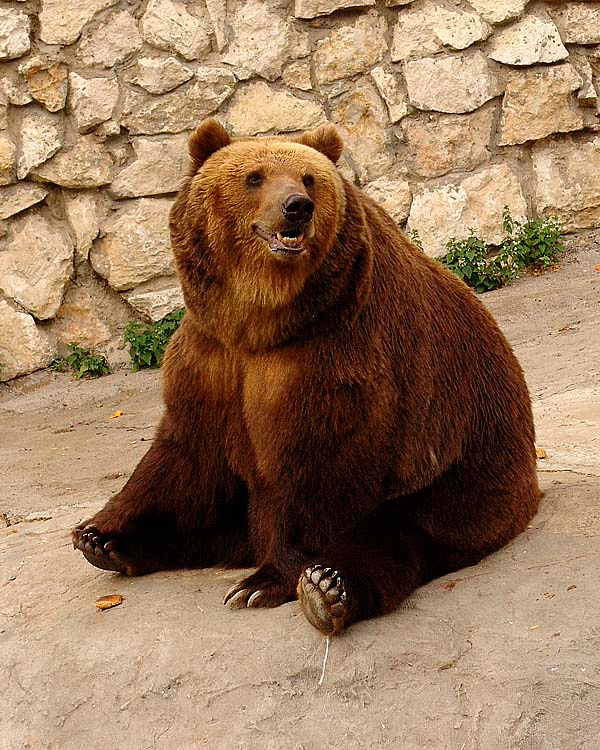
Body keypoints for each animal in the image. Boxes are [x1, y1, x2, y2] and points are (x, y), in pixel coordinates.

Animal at [73, 118, 541, 635]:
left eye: (309, 178)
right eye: (254, 176)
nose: (297, 206)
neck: (261, 320)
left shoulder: (330, 358)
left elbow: (313, 464)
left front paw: (264, 582)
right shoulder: (212, 358)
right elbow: (186, 452)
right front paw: (101, 534)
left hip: (459, 464)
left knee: (401, 531)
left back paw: (325, 586)